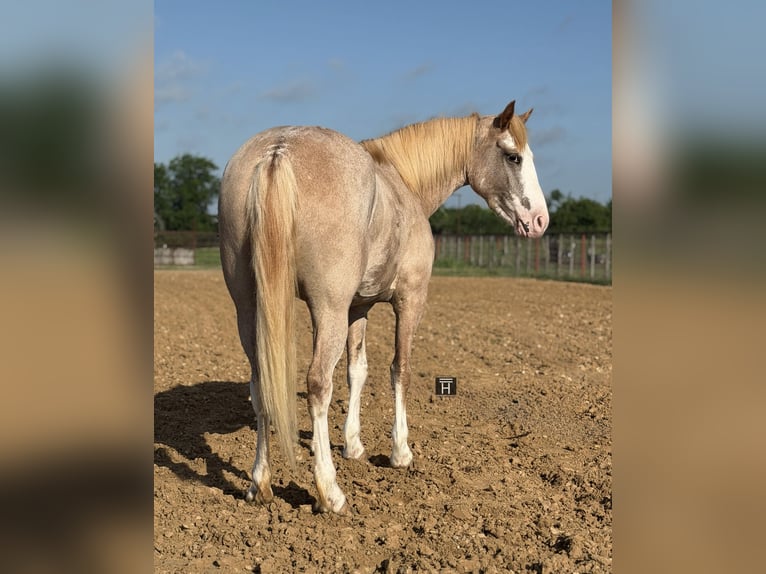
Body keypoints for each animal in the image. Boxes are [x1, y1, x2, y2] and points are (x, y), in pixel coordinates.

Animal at [218, 100, 549, 515]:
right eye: (513, 156)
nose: (540, 220)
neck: (403, 184)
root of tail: (278, 151)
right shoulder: (409, 300)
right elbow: (400, 370)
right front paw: (400, 452)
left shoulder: (357, 308)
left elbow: (357, 371)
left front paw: (353, 444)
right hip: (326, 309)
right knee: (318, 384)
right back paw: (330, 491)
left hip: (249, 308)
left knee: (262, 380)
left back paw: (259, 483)